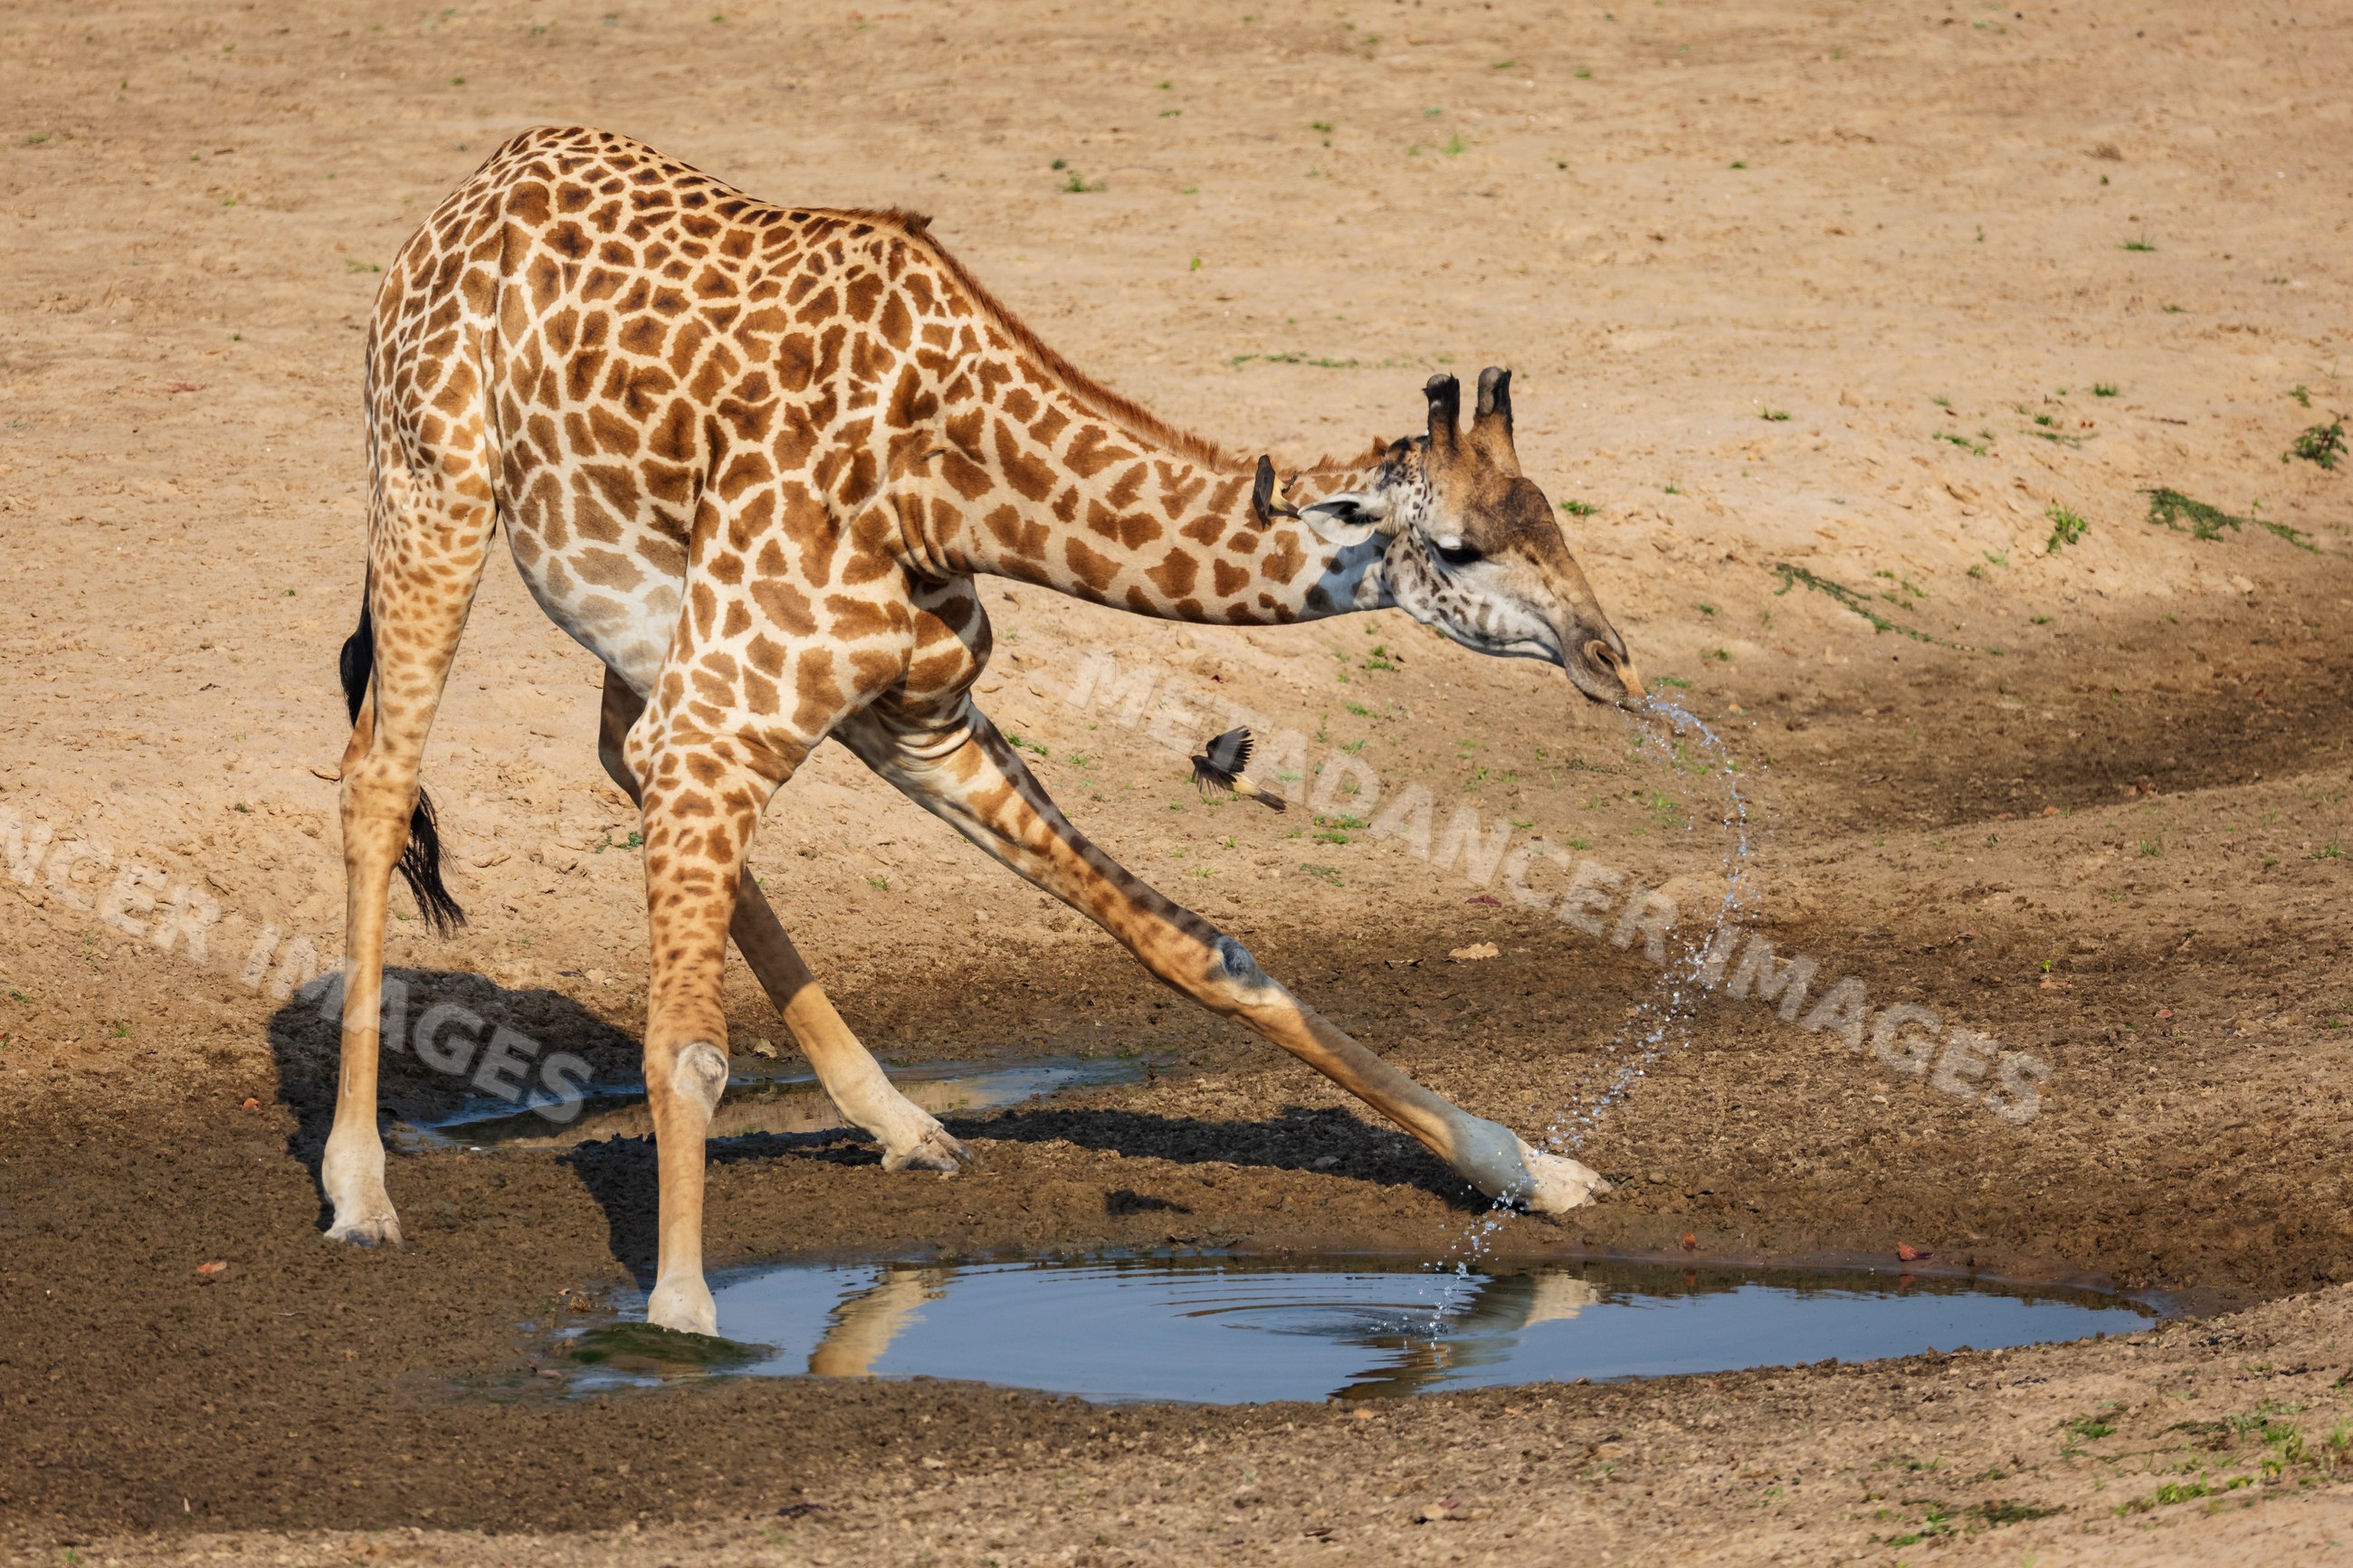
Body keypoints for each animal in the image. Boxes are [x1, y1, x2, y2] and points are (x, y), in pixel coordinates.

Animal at [331, 126, 1649, 1335]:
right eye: (1461, 548)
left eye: (1553, 520)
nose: (1612, 660)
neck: (945, 482)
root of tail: (482, 181)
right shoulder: (728, 723)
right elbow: (689, 1048)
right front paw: (681, 1316)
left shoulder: (918, 718)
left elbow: (1202, 950)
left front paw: (1537, 1169)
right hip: (433, 489)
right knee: (378, 778)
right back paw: (360, 1190)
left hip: (659, 633)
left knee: (613, 753)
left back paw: (906, 1122)